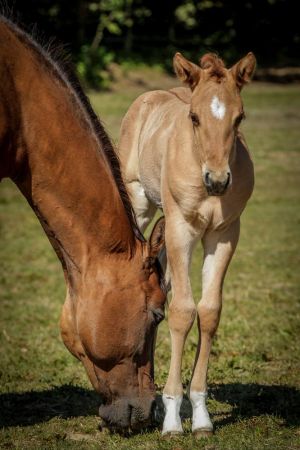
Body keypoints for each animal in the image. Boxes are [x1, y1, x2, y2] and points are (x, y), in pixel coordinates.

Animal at [118, 52, 256, 436]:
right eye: (194, 117)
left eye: (240, 117)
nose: (218, 180)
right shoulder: (181, 229)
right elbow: (181, 311)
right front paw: (171, 419)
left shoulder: (224, 234)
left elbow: (208, 312)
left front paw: (200, 415)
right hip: (141, 206)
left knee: (163, 286)